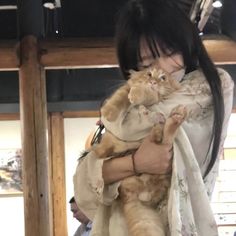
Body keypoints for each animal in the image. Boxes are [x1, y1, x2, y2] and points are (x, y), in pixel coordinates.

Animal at [93, 67, 187, 236]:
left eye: (163, 78)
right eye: (149, 74)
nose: (153, 82)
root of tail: (134, 196)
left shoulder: (155, 96)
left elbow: (149, 94)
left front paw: (140, 95)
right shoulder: (125, 88)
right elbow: (120, 97)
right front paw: (109, 111)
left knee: (165, 137)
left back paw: (170, 117)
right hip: (111, 145)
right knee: (102, 153)